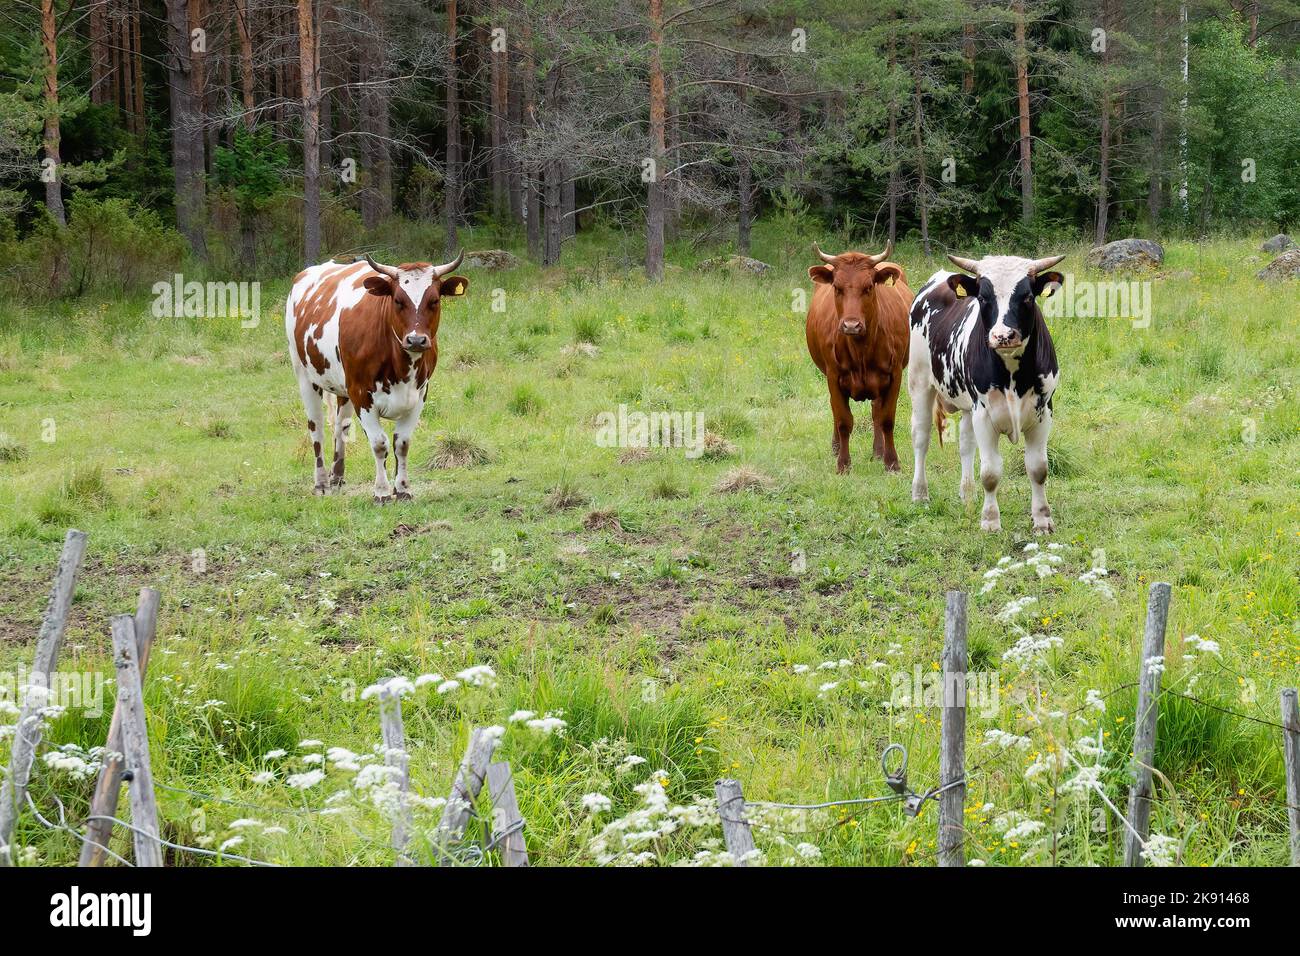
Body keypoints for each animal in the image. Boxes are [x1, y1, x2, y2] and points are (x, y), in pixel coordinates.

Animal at [286, 252, 469, 503]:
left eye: (434, 300)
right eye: (398, 301)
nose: (416, 340)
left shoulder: (420, 394)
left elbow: (402, 443)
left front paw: (402, 489)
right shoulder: (361, 394)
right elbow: (379, 443)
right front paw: (381, 491)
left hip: (343, 387)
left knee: (341, 427)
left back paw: (337, 477)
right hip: (305, 376)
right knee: (317, 428)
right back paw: (321, 483)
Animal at [805, 243, 913, 473]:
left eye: (869, 287)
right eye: (837, 288)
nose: (851, 325)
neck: (861, 350)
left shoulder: (894, 375)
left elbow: (887, 419)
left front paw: (892, 462)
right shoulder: (833, 376)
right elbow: (843, 420)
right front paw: (843, 465)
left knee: (876, 411)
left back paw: (878, 451)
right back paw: (836, 447)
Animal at [906, 253, 1065, 533]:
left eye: (1027, 297)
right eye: (982, 298)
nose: (1003, 335)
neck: (1012, 374)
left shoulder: (1043, 412)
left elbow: (1038, 469)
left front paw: (1042, 519)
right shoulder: (985, 415)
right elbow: (990, 472)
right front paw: (990, 520)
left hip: (968, 408)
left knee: (966, 444)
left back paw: (967, 493)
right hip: (919, 381)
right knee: (921, 437)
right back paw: (920, 493)